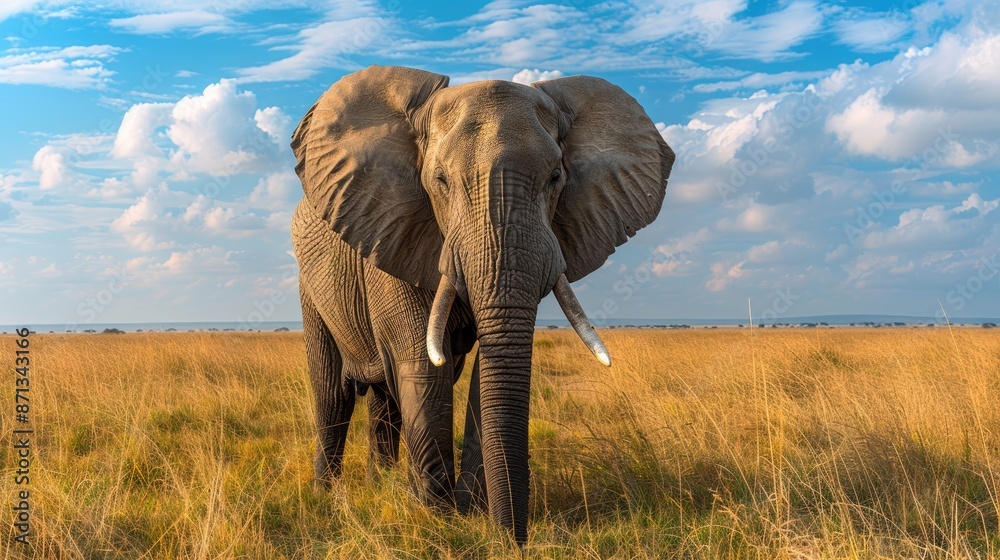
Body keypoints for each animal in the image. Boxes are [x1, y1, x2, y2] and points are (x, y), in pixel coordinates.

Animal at [290, 65, 674, 544]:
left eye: (556, 179)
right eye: (440, 181)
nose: (517, 542)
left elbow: (484, 371)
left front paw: (470, 513)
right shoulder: (390, 230)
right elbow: (421, 365)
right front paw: (438, 517)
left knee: (382, 400)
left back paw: (381, 482)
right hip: (310, 284)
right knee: (332, 392)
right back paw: (327, 494)